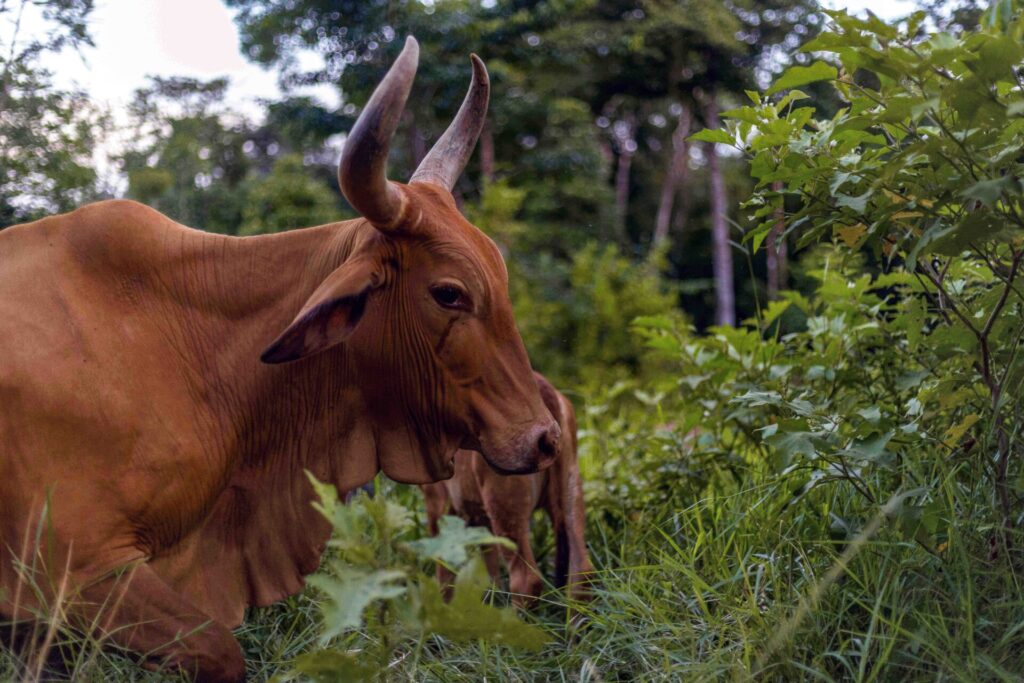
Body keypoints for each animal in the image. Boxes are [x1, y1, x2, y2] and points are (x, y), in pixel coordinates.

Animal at [422, 373, 592, 610]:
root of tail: (544, 389)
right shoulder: (480, 518)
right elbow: (490, 571)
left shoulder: (438, 503)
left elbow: (443, 569)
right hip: (571, 490)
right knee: (581, 573)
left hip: (505, 507)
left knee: (526, 580)